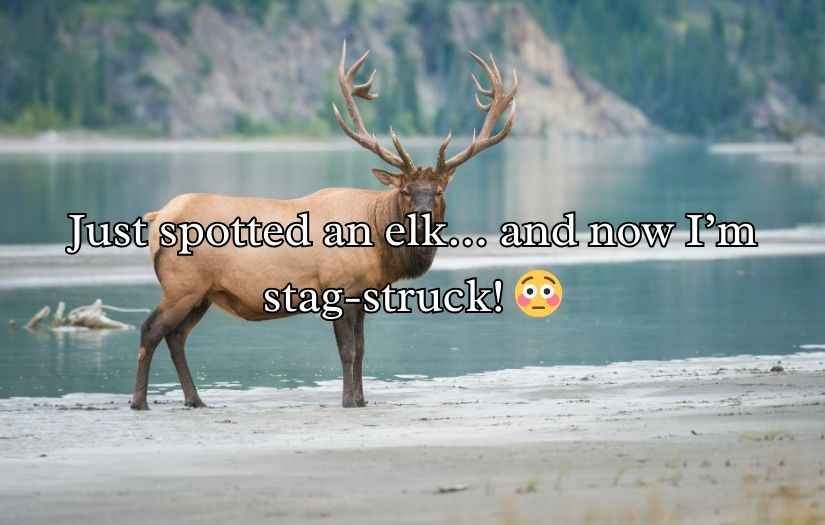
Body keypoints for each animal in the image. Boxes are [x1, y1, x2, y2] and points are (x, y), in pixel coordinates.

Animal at [131, 42, 517, 410]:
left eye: (438, 191)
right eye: (406, 191)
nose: (421, 220)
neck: (379, 244)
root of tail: (157, 216)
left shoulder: (364, 295)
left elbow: (361, 350)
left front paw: (361, 399)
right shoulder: (338, 287)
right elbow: (347, 351)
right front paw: (347, 400)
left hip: (203, 293)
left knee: (176, 336)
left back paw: (195, 399)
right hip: (182, 285)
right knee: (150, 330)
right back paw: (140, 401)